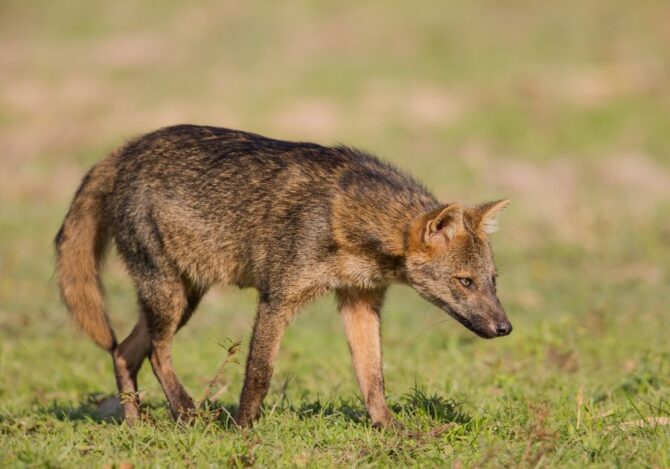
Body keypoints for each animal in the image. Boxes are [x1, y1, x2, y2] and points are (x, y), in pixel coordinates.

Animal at [54, 124, 512, 429]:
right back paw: (186, 411)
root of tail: (124, 150)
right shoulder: (277, 299)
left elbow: (373, 378)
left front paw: (391, 431)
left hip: (182, 298)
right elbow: (259, 375)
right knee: (154, 353)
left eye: (493, 280)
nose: (505, 328)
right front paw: (243, 431)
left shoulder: (360, 302)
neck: (346, 219)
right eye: (465, 281)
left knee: (123, 351)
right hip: (170, 298)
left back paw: (136, 426)